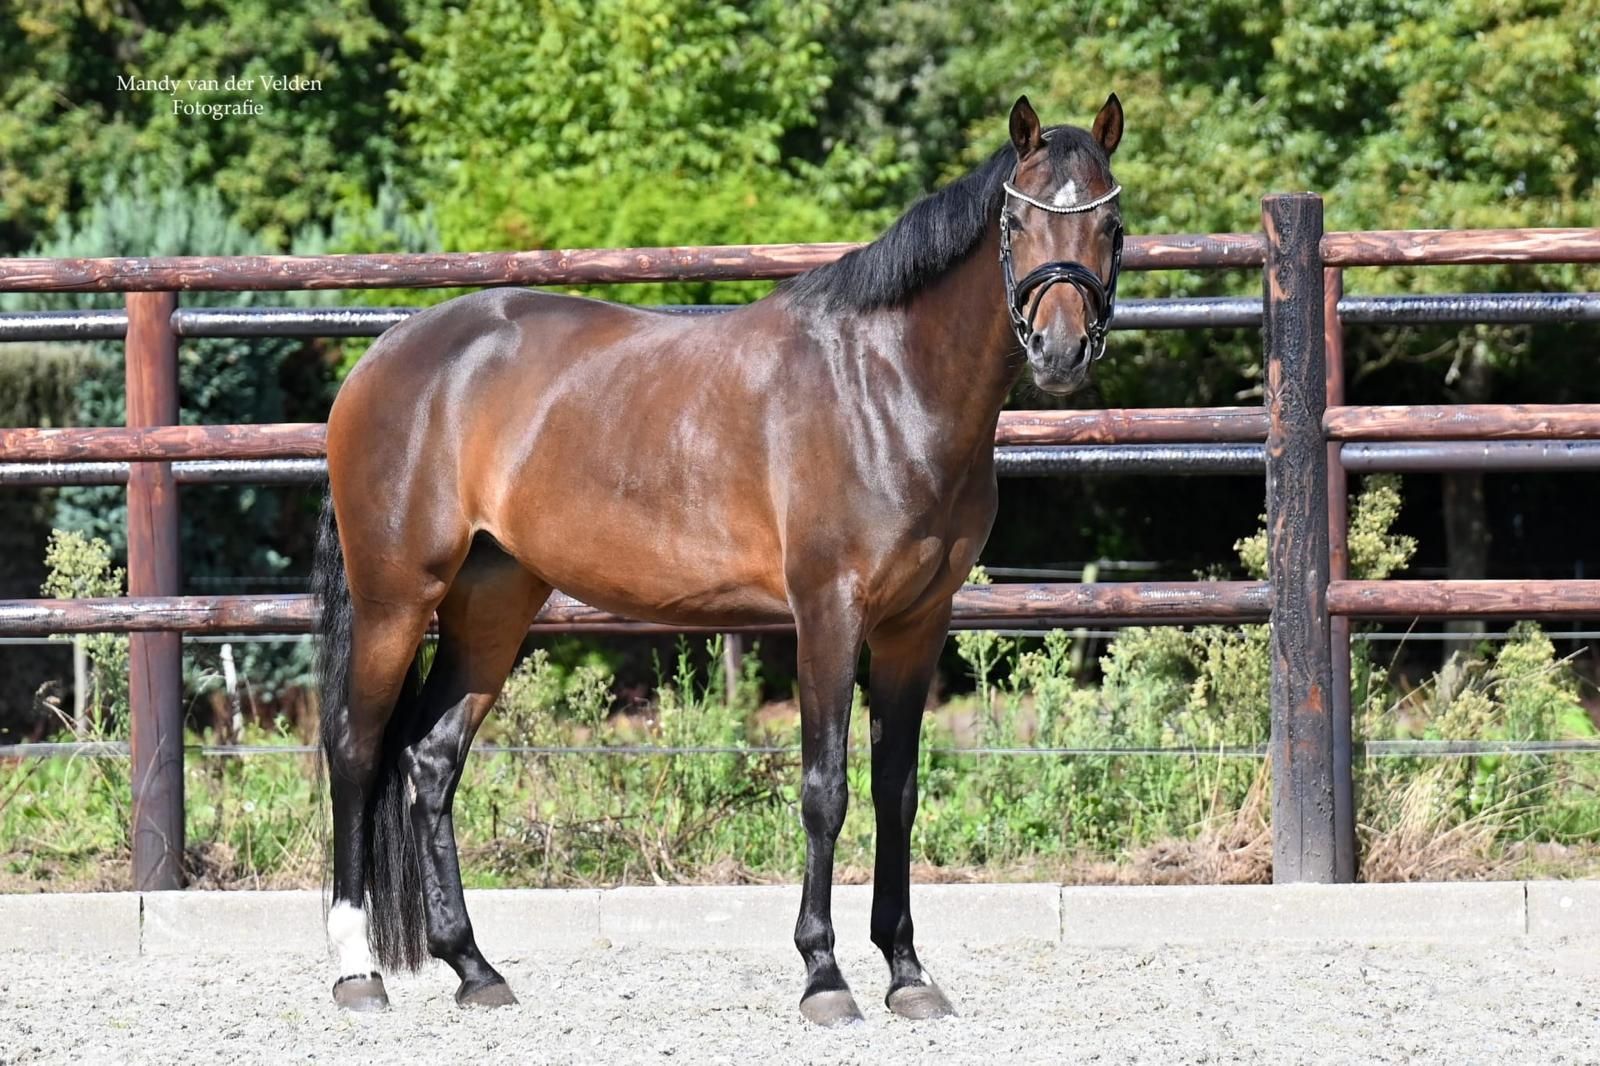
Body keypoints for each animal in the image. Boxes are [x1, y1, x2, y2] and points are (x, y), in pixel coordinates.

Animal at [314, 93, 1125, 1025]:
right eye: (1018, 221)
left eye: (1109, 225)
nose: (1060, 352)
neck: (887, 384)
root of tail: (383, 357)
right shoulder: (828, 612)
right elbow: (825, 789)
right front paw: (823, 975)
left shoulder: (916, 624)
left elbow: (897, 790)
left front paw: (908, 973)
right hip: (395, 602)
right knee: (356, 750)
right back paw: (358, 972)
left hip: (493, 606)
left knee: (431, 760)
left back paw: (474, 967)